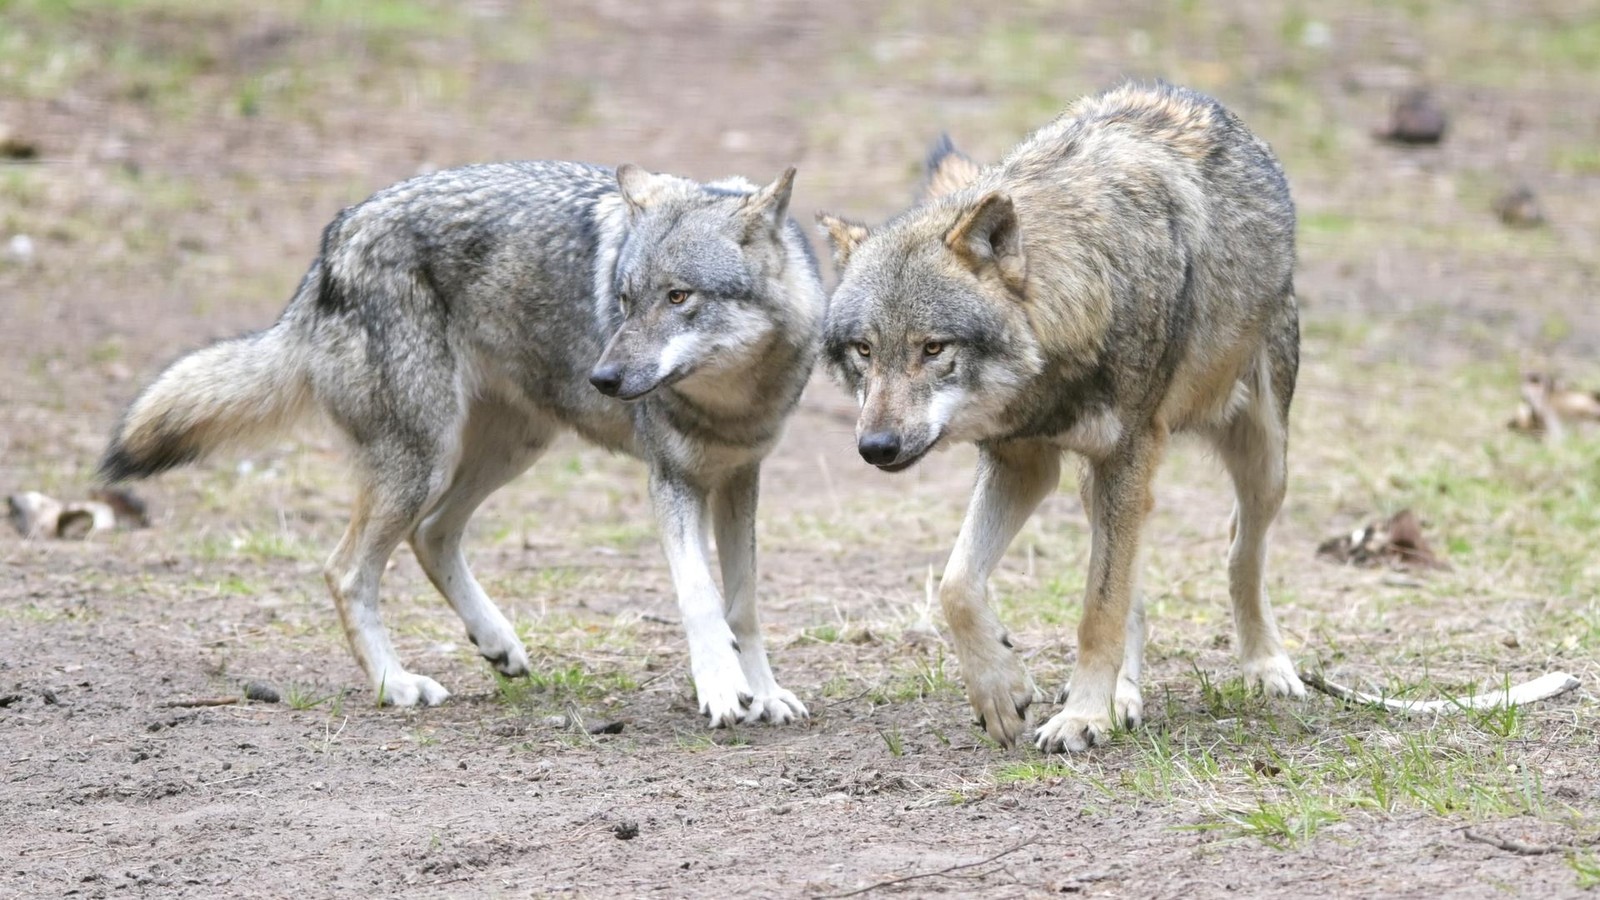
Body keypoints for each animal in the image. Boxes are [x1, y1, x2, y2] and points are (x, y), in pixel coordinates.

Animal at [101, 160, 825, 727]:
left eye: (678, 297)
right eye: (622, 300)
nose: (604, 378)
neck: (732, 401)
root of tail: (334, 242)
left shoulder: (739, 479)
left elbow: (743, 605)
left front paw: (764, 693)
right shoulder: (672, 481)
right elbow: (701, 597)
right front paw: (723, 691)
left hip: (510, 449)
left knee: (432, 535)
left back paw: (495, 643)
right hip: (424, 463)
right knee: (346, 569)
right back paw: (396, 685)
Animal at [817, 82, 1303, 752]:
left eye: (933, 348)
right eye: (864, 351)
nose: (877, 447)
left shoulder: (1126, 454)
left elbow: (1099, 610)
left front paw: (1081, 716)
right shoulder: (1022, 462)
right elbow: (956, 585)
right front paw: (1003, 692)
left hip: (1261, 460)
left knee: (1239, 550)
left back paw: (1265, 665)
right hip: (1100, 483)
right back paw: (1125, 695)